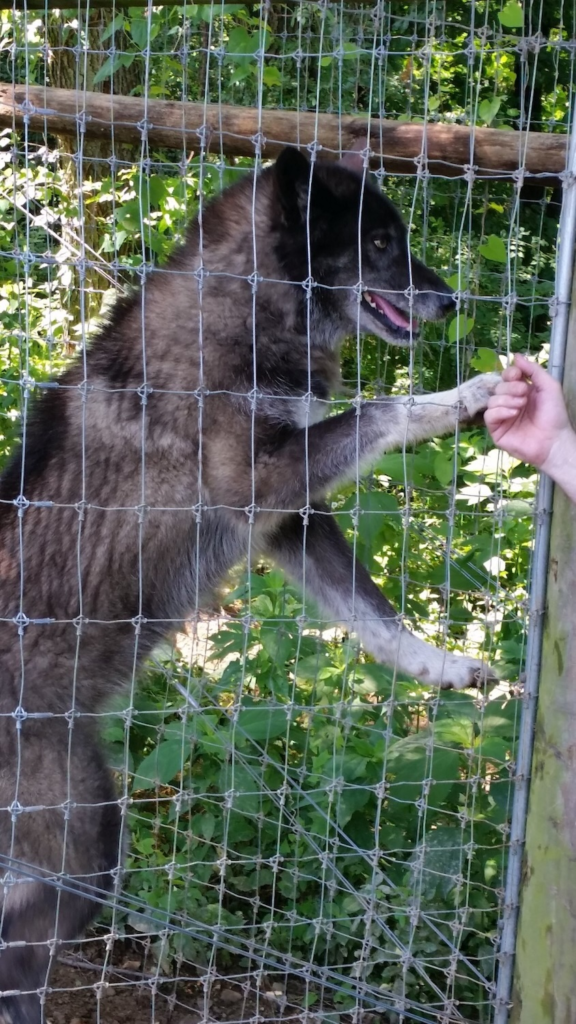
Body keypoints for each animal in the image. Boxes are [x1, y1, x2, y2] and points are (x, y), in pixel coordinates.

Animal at [0, 146, 500, 1021]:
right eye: (378, 243)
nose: (451, 301)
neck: (246, 306)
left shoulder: (285, 521)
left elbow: (372, 613)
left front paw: (438, 667)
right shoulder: (259, 482)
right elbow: (385, 407)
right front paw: (462, 397)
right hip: (81, 845)